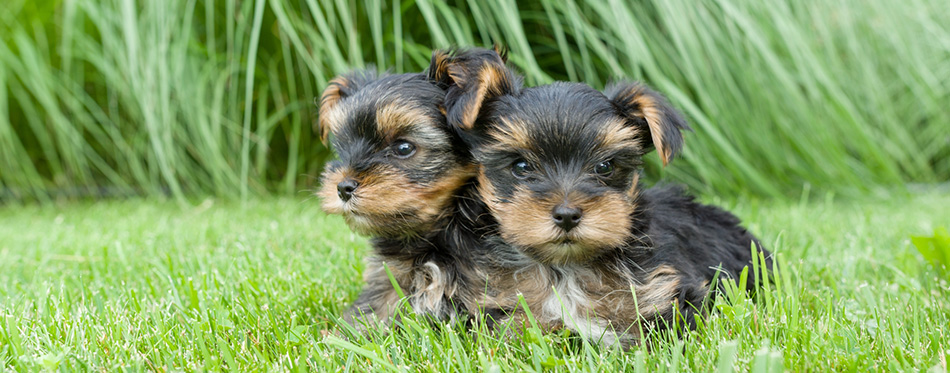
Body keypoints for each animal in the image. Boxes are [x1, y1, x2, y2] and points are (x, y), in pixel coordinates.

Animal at [434, 48, 772, 346]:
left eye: (605, 166)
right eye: (521, 166)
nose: (567, 215)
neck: (564, 267)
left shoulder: (667, 291)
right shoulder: (498, 303)